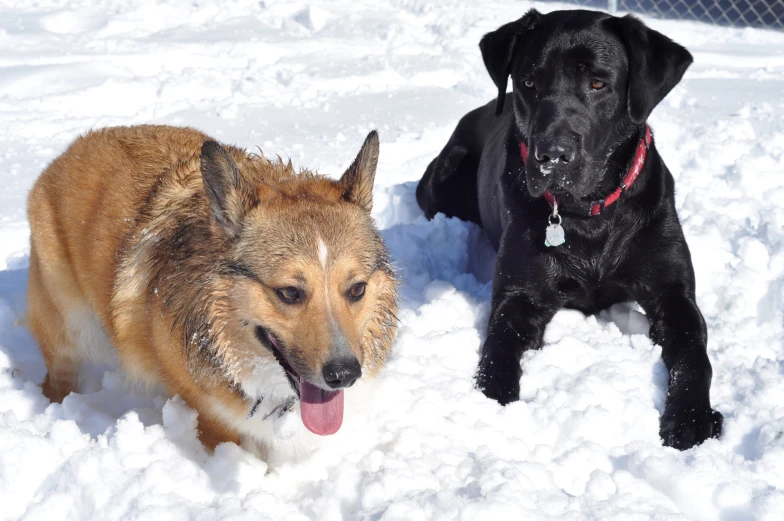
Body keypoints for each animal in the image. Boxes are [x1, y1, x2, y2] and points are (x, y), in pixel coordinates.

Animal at [26, 125, 398, 450]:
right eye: (290, 293)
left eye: (357, 289)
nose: (344, 374)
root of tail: (69, 151)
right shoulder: (211, 418)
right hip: (70, 328)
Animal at [416, 8, 724, 448]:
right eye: (529, 82)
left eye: (598, 83)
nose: (551, 157)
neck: (588, 216)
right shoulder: (519, 296)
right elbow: (497, 350)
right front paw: (494, 407)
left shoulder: (674, 295)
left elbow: (695, 356)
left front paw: (691, 418)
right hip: (443, 177)